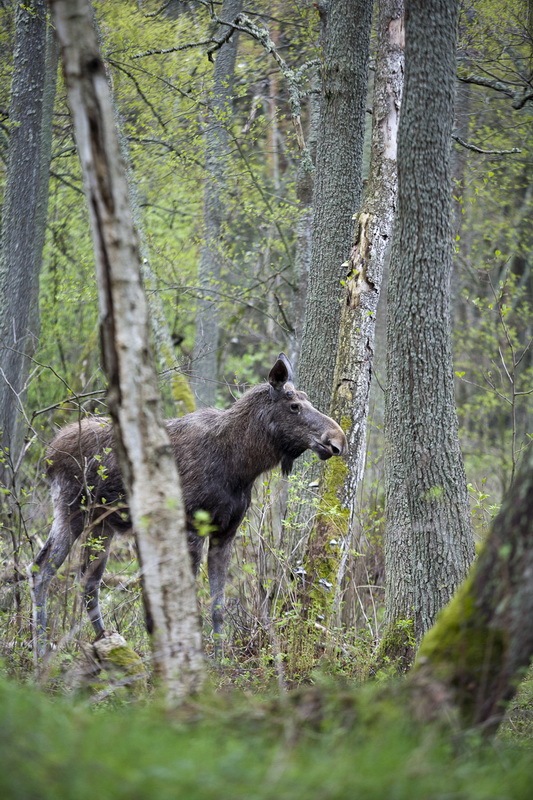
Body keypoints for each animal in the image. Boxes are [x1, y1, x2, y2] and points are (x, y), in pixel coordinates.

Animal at [29, 354, 348, 652]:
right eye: (294, 405)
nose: (338, 440)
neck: (241, 465)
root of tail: (49, 452)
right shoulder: (191, 528)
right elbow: (191, 600)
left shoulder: (225, 533)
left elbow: (218, 605)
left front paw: (218, 658)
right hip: (71, 509)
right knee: (41, 570)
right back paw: (40, 650)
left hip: (103, 524)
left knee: (87, 582)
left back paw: (105, 641)